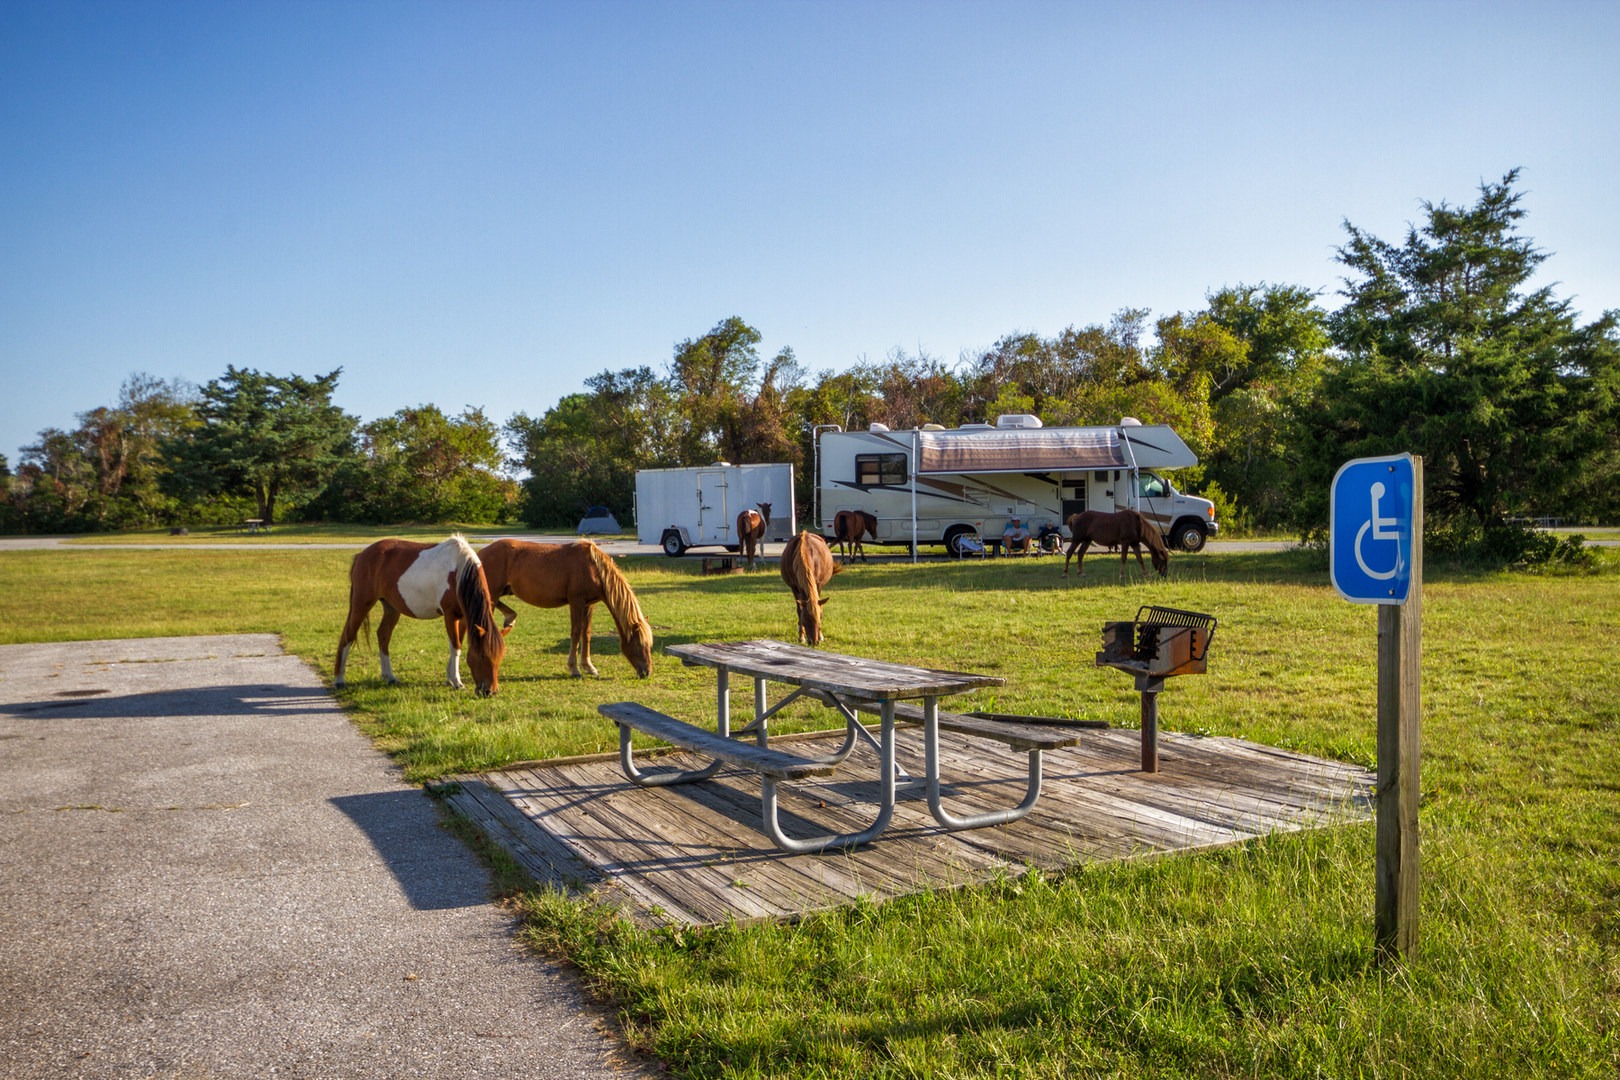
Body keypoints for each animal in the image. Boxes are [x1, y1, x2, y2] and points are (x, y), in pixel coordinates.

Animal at [330, 537, 502, 696]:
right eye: (482, 656)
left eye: (500, 656)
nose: (490, 691)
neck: (459, 571)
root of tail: (361, 555)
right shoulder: (450, 615)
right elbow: (455, 646)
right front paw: (456, 681)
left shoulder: (464, 617)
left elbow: (457, 645)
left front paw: (450, 678)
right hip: (361, 604)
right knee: (347, 636)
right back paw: (339, 679)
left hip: (391, 608)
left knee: (383, 635)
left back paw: (389, 676)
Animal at [476, 537, 654, 680]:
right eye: (640, 644)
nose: (646, 672)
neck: (593, 567)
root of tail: (480, 554)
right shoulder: (576, 602)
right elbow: (575, 633)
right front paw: (574, 669)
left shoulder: (589, 604)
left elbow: (586, 633)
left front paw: (589, 667)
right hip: (492, 593)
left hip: (499, 592)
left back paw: (510, 618)